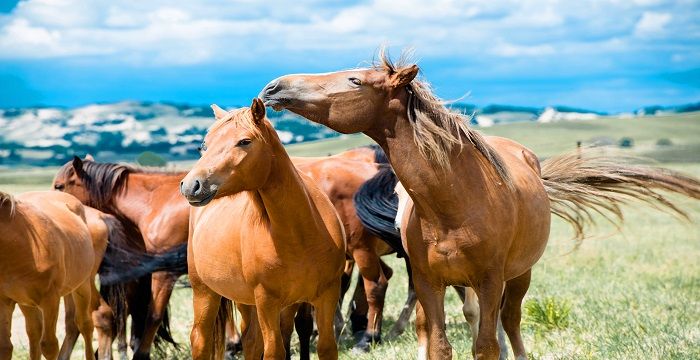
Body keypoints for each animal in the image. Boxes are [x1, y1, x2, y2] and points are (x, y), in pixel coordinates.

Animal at [0, 190, 95, 358]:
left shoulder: (50, 299)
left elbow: (49, 346)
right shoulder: (4, 301)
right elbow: (5, 347)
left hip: (82, 286)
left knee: (85, 325)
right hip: (26, 303)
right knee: (34, 333)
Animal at [179, 97, 346, 358]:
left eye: (244, 141)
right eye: (203, 146)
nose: (191, 186)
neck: (300, 235)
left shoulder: (327, 295)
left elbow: (326, 346)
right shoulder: (267, 301)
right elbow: (274, 350)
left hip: (246, 300)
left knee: (250, 341)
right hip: (204, 291)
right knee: (201, 340)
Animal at [262, 51, 700, 360]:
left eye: (354, 80)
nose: (274, 87)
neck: (454, 203)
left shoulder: (491, 280)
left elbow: (486, 345)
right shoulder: (429, 282)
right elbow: (440, 344)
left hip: (519, 276)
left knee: (510, 322)